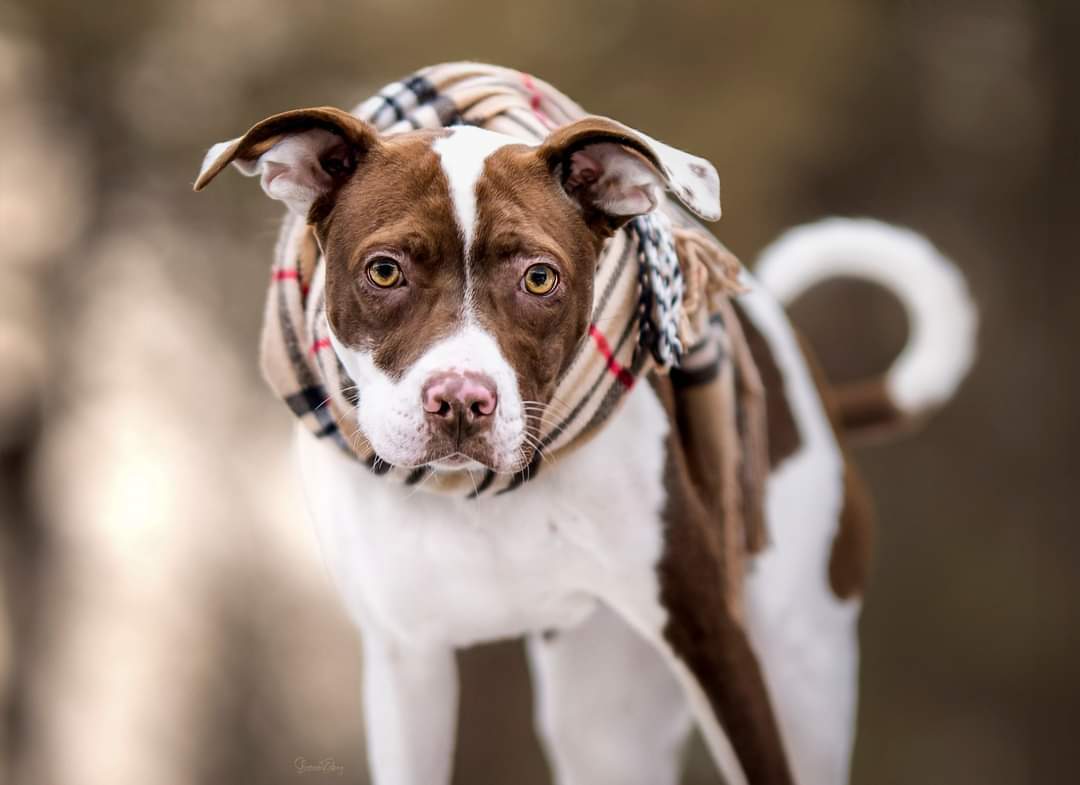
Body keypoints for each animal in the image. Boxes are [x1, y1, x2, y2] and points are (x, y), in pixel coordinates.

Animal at [196, 66, 980, 785]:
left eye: (540, 278)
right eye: (384, 271)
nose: (461, 400)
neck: (475, 497)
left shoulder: (713, 639)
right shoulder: (404, 661)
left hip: (797, 665)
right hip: (604, 714)